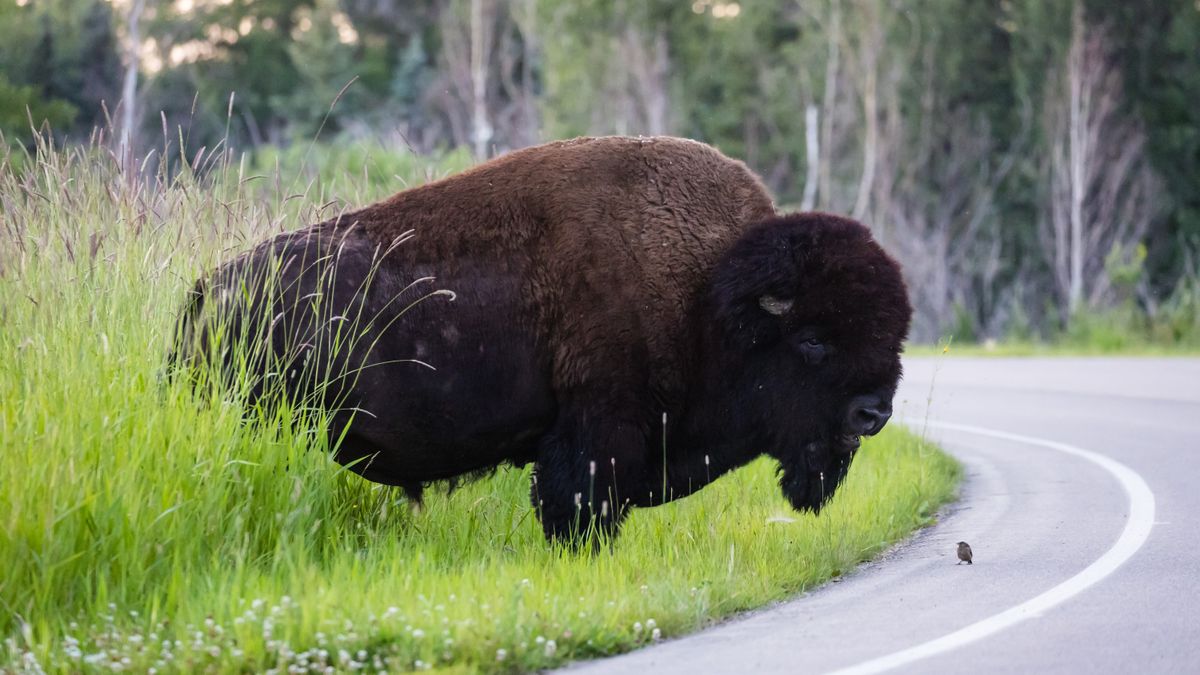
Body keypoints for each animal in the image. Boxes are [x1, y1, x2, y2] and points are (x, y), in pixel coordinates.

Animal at [175, 135, 907, 540]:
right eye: (813, 341)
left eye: (892, 335)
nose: (873, 413)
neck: (709, 293)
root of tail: (206, 293)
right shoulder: (596, 431)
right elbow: (577, 507)